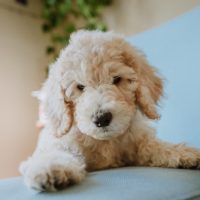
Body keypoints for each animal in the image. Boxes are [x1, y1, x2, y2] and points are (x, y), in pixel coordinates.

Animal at [19, 29, 200, 191]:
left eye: (117, 79)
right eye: (80, 87)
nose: (102, 119)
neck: (105, 142)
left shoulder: (137, 145)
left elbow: (152, 147)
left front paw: (186, 152)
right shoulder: (61, 143)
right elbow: (54, 153)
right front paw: (51, 169)